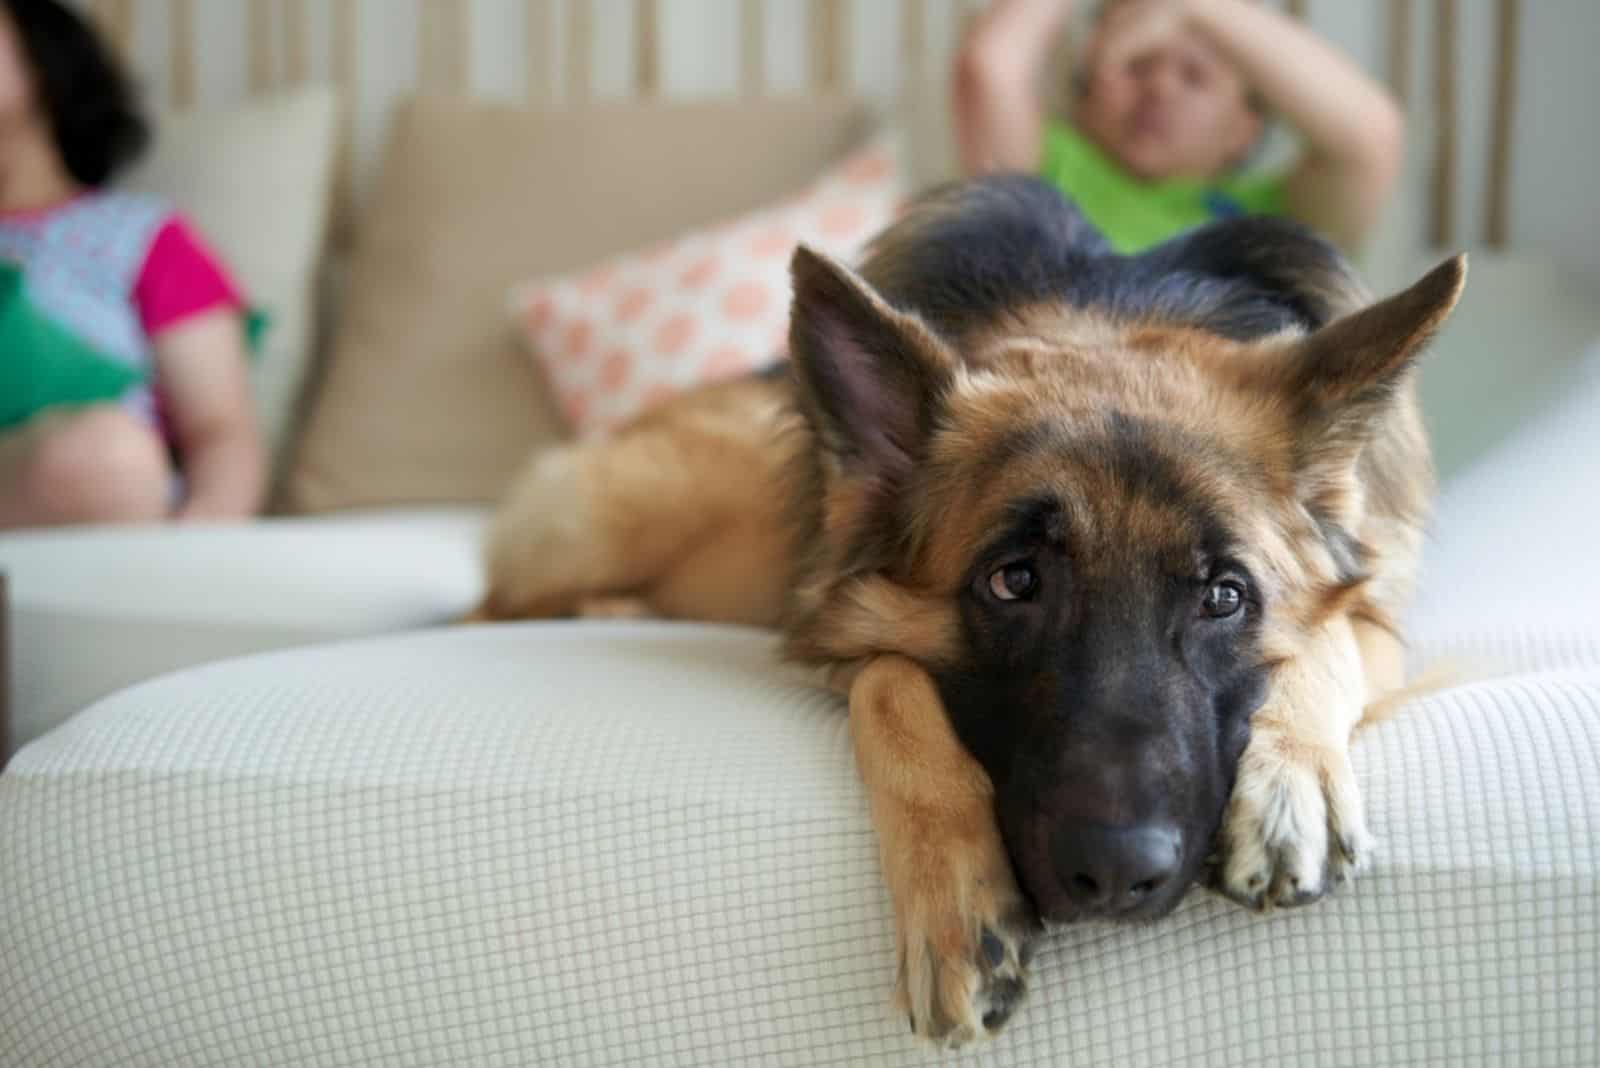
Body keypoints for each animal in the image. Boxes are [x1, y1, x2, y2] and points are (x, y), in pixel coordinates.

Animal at [473, 179, 1465, 1048]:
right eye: (1013, 582)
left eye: (1226, 596)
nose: (1116, 875)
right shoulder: (839, 624)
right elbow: (891, 686)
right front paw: (955, 907)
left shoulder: (1376, 620)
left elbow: (1327, 638)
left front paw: (1292, 782)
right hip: (620, 517)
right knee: (494, 607)